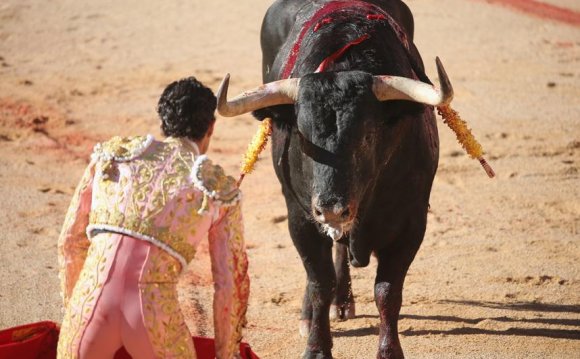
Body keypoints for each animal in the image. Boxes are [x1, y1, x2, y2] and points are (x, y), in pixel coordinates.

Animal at [215, 1, 456, 358]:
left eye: (368, 136)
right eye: (301, 136)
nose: (330, 207)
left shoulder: (412, 223)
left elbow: (387, 290)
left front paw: (388, 351)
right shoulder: (300, 218)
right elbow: (320, 282)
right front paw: (316, 347)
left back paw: (343, 302)